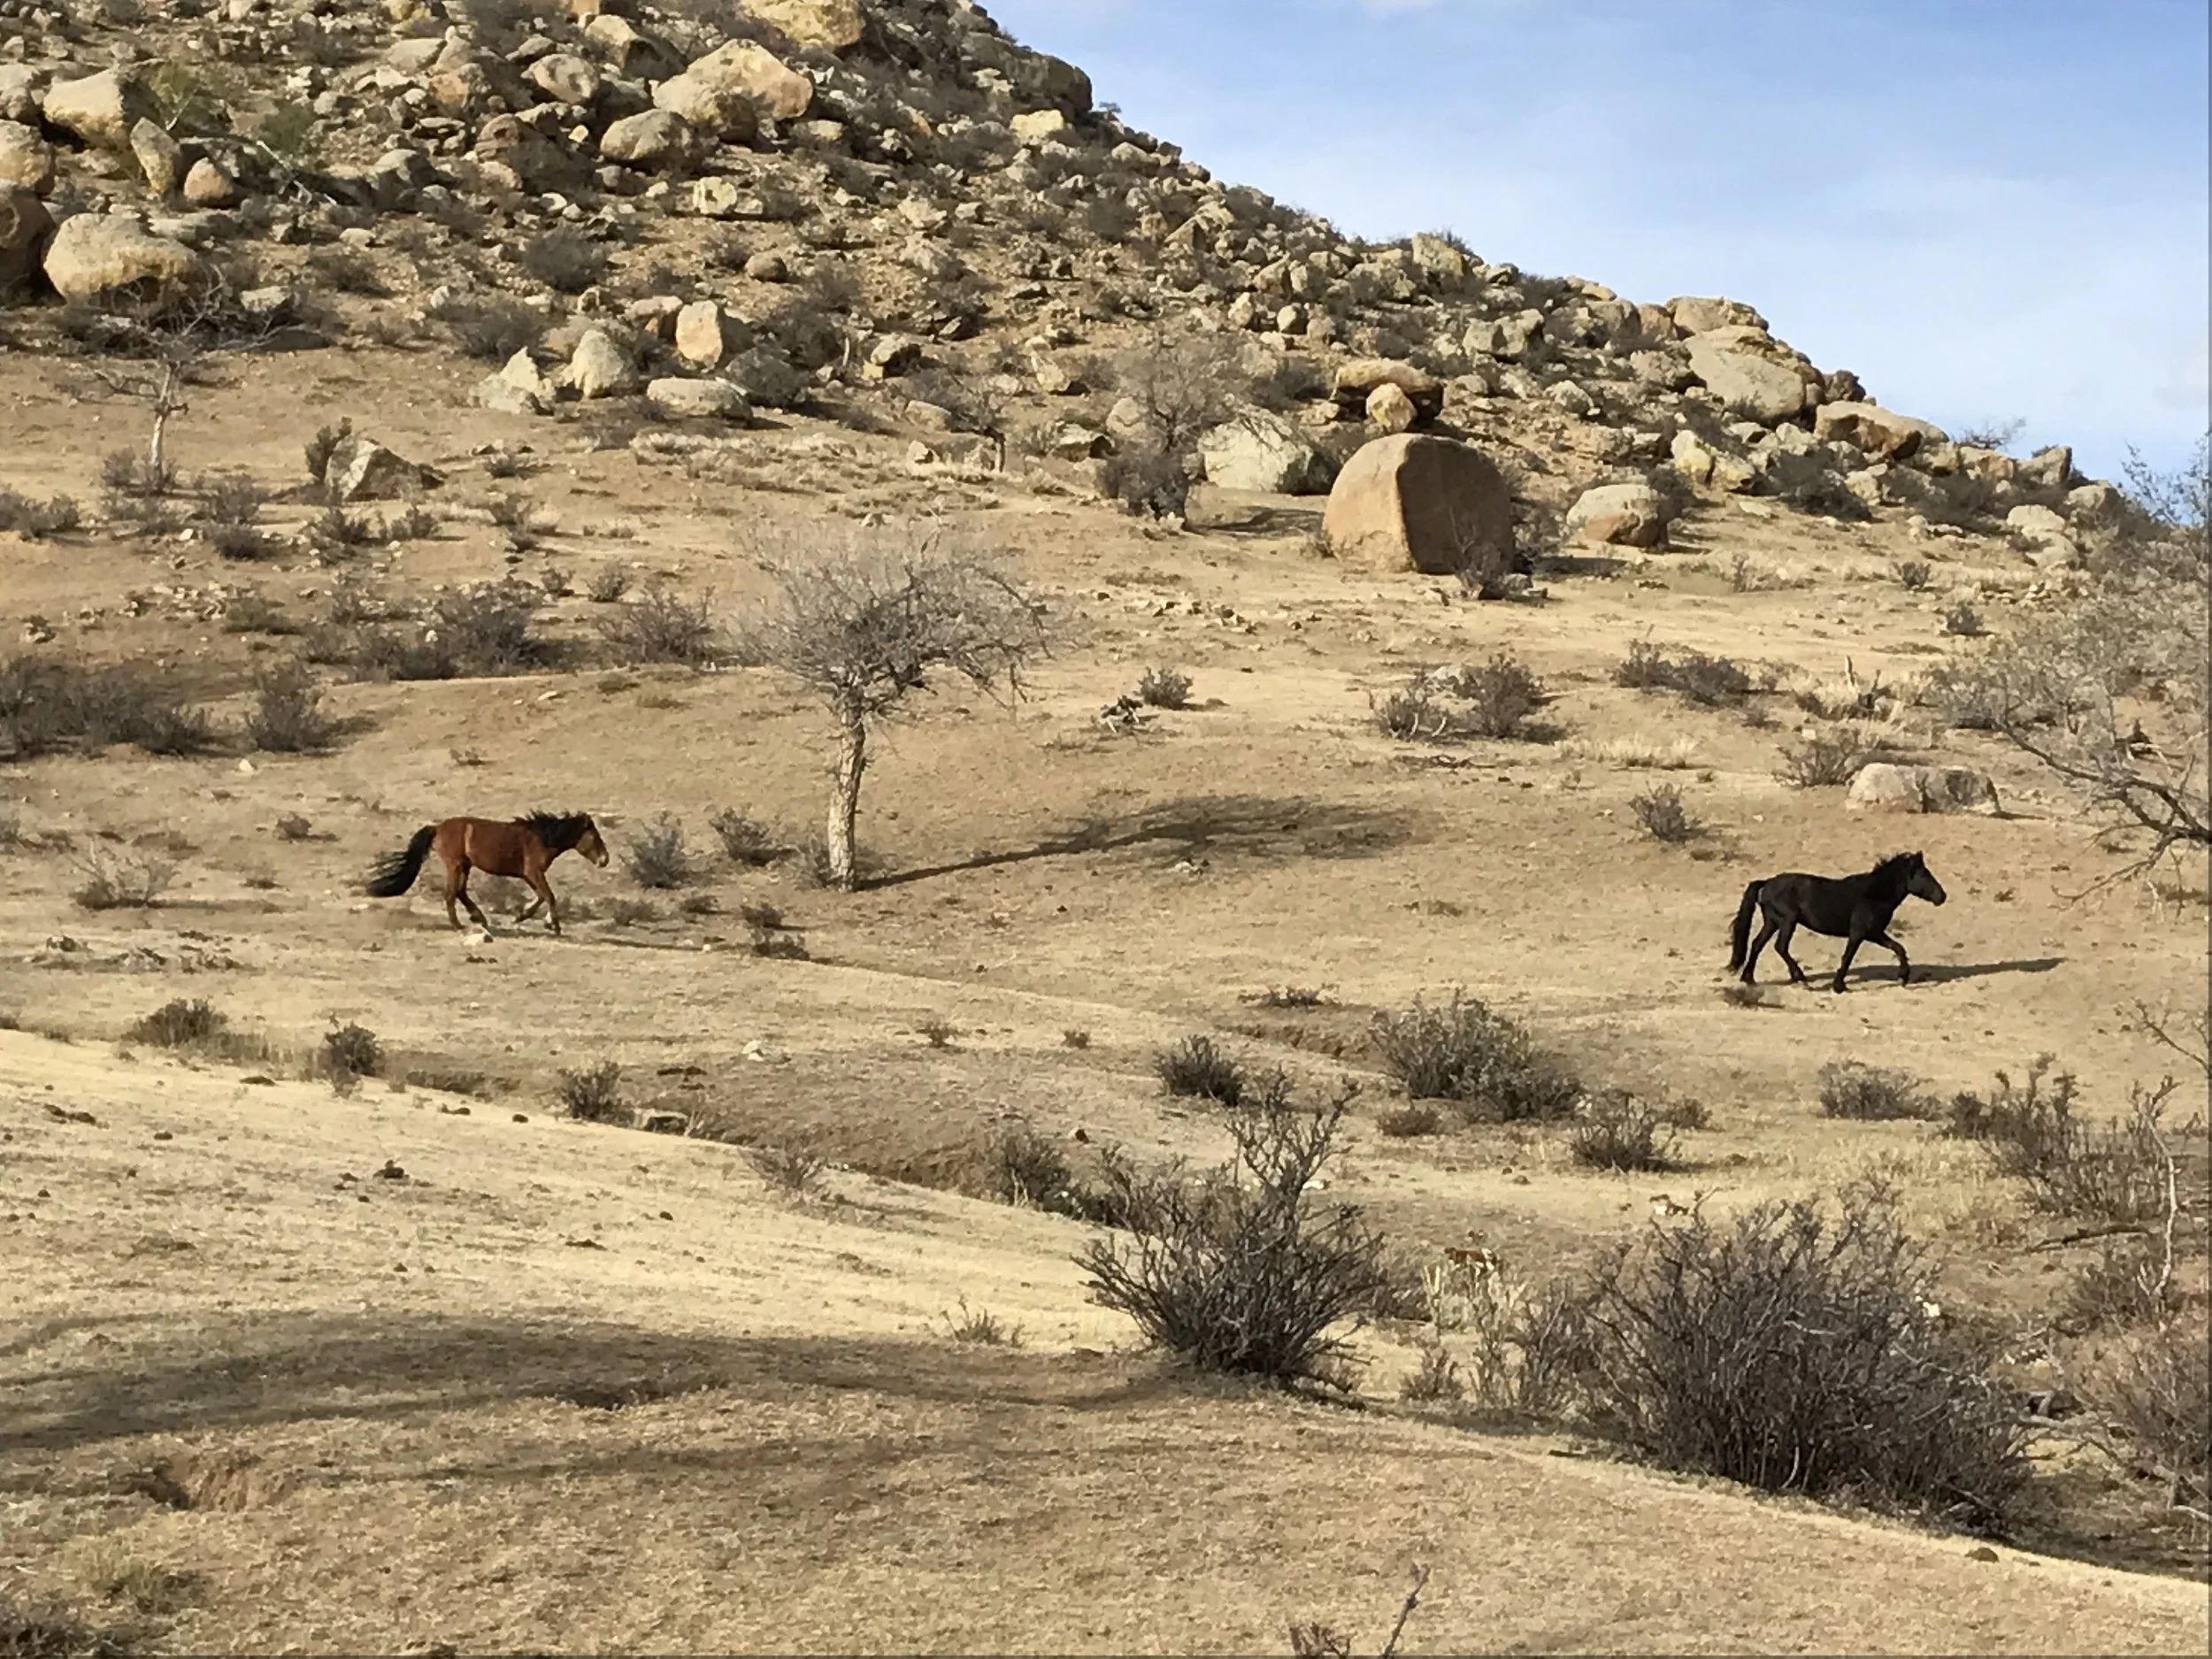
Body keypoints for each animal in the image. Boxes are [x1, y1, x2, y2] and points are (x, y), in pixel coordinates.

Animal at [364, 811, 609, 938]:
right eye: (595, 837)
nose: (605, 860)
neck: (541, 837)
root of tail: (437, 828)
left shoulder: (530, 875)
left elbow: (541, 896)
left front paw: (526, 917)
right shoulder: (533, 872)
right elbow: (549, 896)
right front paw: (554, 926)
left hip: (465, 866)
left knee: (460, 892)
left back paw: (479, 918)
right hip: (455, 865)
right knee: (451, 894)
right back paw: (459, 925)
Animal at [1727, 851, 1948, 993]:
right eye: (1924, 875)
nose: (1942, 897)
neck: (1874, 894)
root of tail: (1766, 883)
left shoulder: (1875, 933)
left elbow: (1898, 948)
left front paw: (1904, 976)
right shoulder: (1859, 933)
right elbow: (1848, 957)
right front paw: (1839, 986)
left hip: (1772, 922)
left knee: (1757, 944)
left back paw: (1749, 979)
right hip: (1787, 921)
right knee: (1780, 946)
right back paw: (1800, 978)